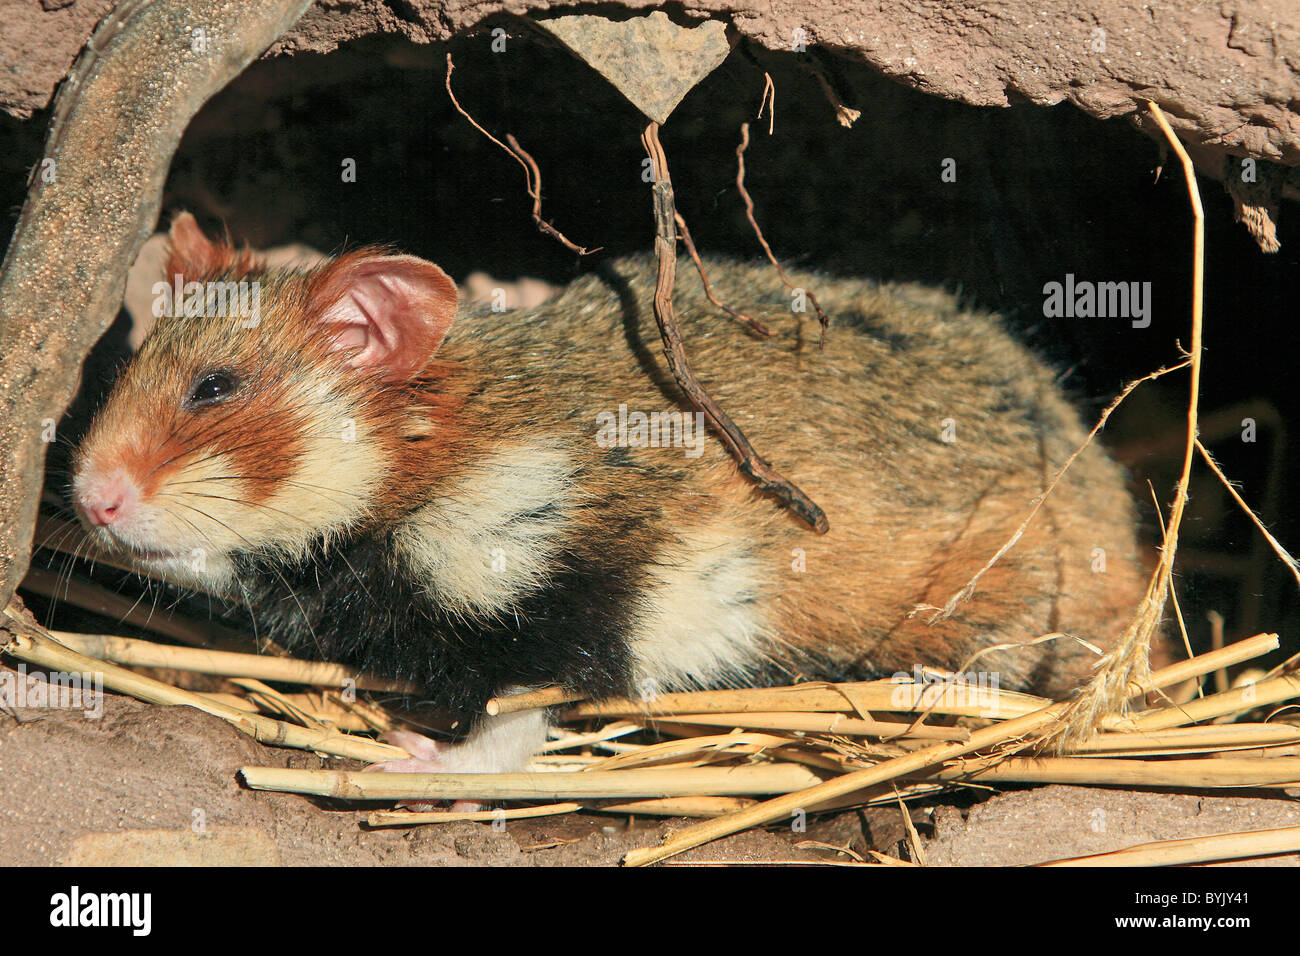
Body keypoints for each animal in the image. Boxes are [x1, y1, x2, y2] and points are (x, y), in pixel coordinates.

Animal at [70, 213, 1149, 774]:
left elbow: (512, 706)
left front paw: (406, 759)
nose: (86, 496)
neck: (428, 458)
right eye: (127, 363)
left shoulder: (576, 588)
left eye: (216, 388)